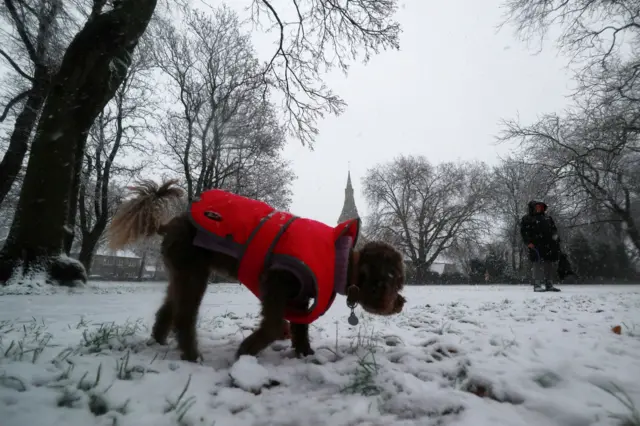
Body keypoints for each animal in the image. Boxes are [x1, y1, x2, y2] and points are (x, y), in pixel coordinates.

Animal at [106, 178, 404, 362]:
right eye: (394, 280)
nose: (401, 301)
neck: (340, 258)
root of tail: (170, 223)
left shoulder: (300, 296)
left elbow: (300, 329)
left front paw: (307, 355)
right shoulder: (277, 282)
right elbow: (273, 325)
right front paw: (246, 351)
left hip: (180, 272)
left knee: (167, 311)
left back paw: (159, 342)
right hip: (193, 272)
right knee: (184, 318)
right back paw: (192, 356)